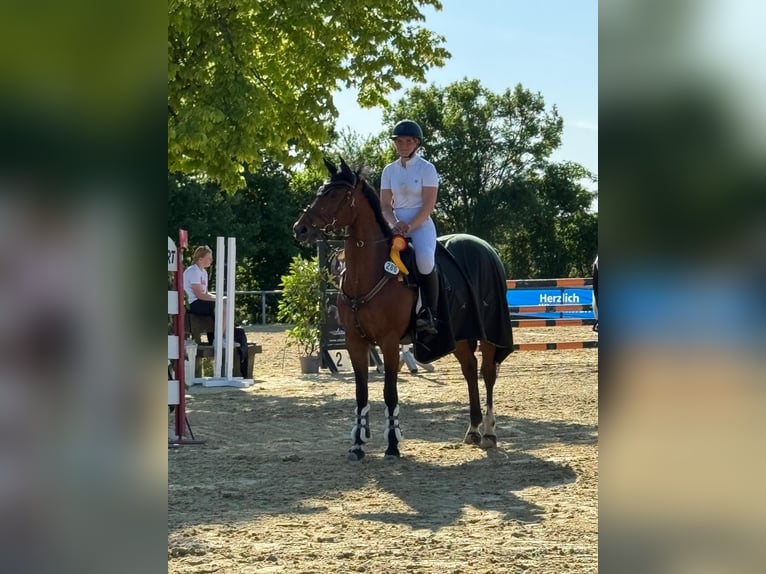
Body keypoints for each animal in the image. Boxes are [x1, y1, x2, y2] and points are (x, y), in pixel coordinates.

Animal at [293, 158, 514, 461]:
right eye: (320, 190)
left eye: (335, 195)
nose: (300, 228)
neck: (369, 272)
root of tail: (485, 247)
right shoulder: (355, 342)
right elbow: (361, 393)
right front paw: (357, 445)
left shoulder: (388, 342)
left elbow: (389, 392)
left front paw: (392, 445)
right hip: (458, 336)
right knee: (470, 370)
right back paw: (473, 430)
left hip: (490, 332)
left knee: (488, 373)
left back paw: (490, 432)